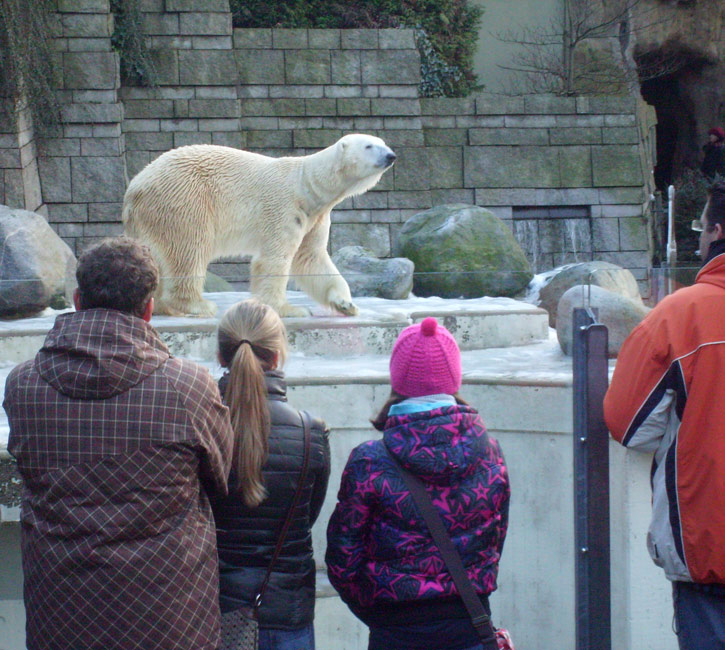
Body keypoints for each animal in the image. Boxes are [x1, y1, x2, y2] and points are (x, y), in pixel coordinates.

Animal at [121, 134, 394, 316]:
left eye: (383, 142)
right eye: (369, 146)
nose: (391, 155)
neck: (307, 185)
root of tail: (135, 188)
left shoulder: (315, 216)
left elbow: (312, 258)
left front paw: (346, 304)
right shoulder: (284, 208)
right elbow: (275, 259)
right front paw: (289, 309)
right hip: (184, 200)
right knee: (189, 248)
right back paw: (197, 305)